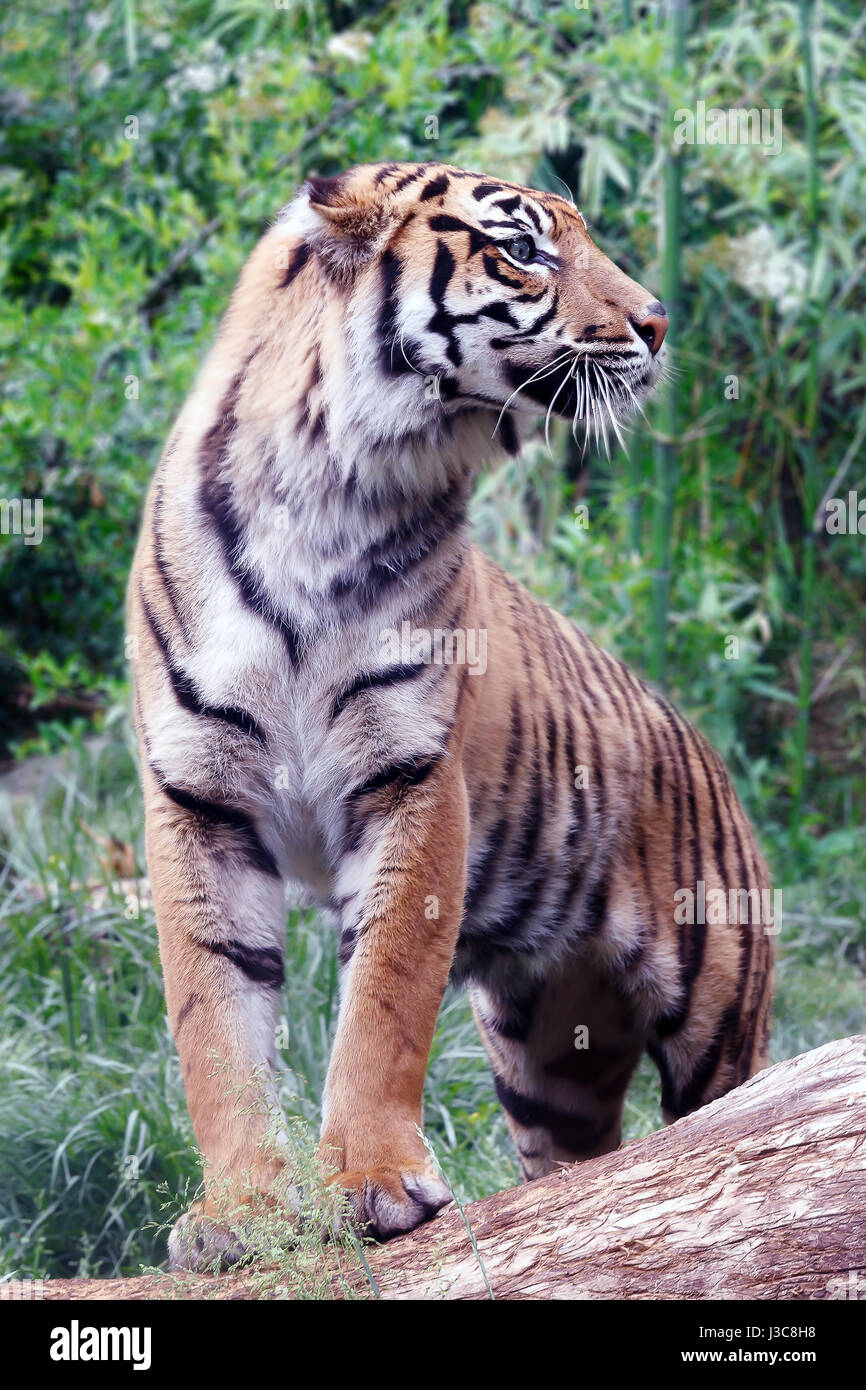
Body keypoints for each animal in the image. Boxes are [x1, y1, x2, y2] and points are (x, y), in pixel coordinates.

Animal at [130, 157, 778, 1267]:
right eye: (521, 249)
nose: (655, 323)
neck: (333, 493)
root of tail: (705, 751)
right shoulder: (198, 797)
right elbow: (212, 1016)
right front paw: (241, 1214)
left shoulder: (411, 776)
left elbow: (382, 1002)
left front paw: (374, 1184)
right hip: (550, 1058)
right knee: (584, 1171)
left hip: (717, 1009)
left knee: (728, 1114)